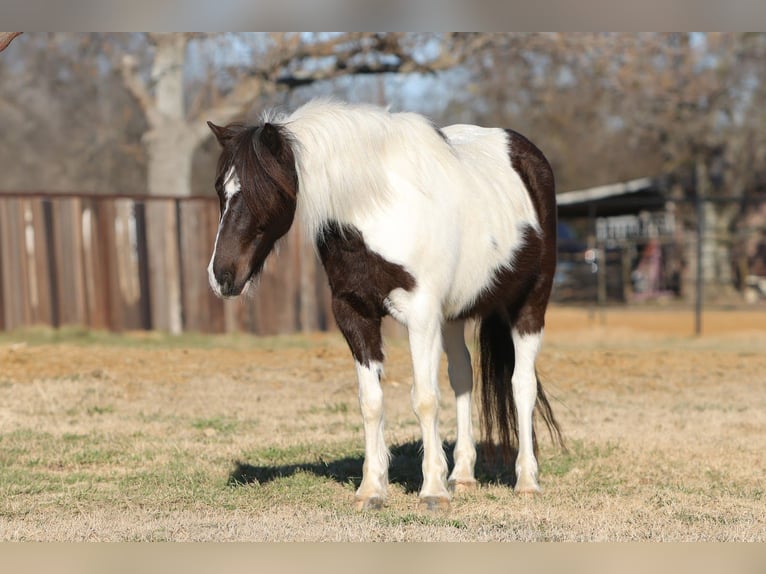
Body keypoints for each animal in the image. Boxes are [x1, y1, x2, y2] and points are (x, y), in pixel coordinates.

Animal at [206, 99, 563, 510]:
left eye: (264, 190)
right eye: (220, 189)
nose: (221, 276)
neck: (378, 211)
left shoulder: (421, 316)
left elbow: (424, 398)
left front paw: (432, 490)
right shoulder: (354, 313)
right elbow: (371, 401)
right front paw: (372, 489)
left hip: (530, 305)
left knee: (522, 385)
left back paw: (526, 480)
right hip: (453, 316)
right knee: (463, 379)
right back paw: (462, 476)